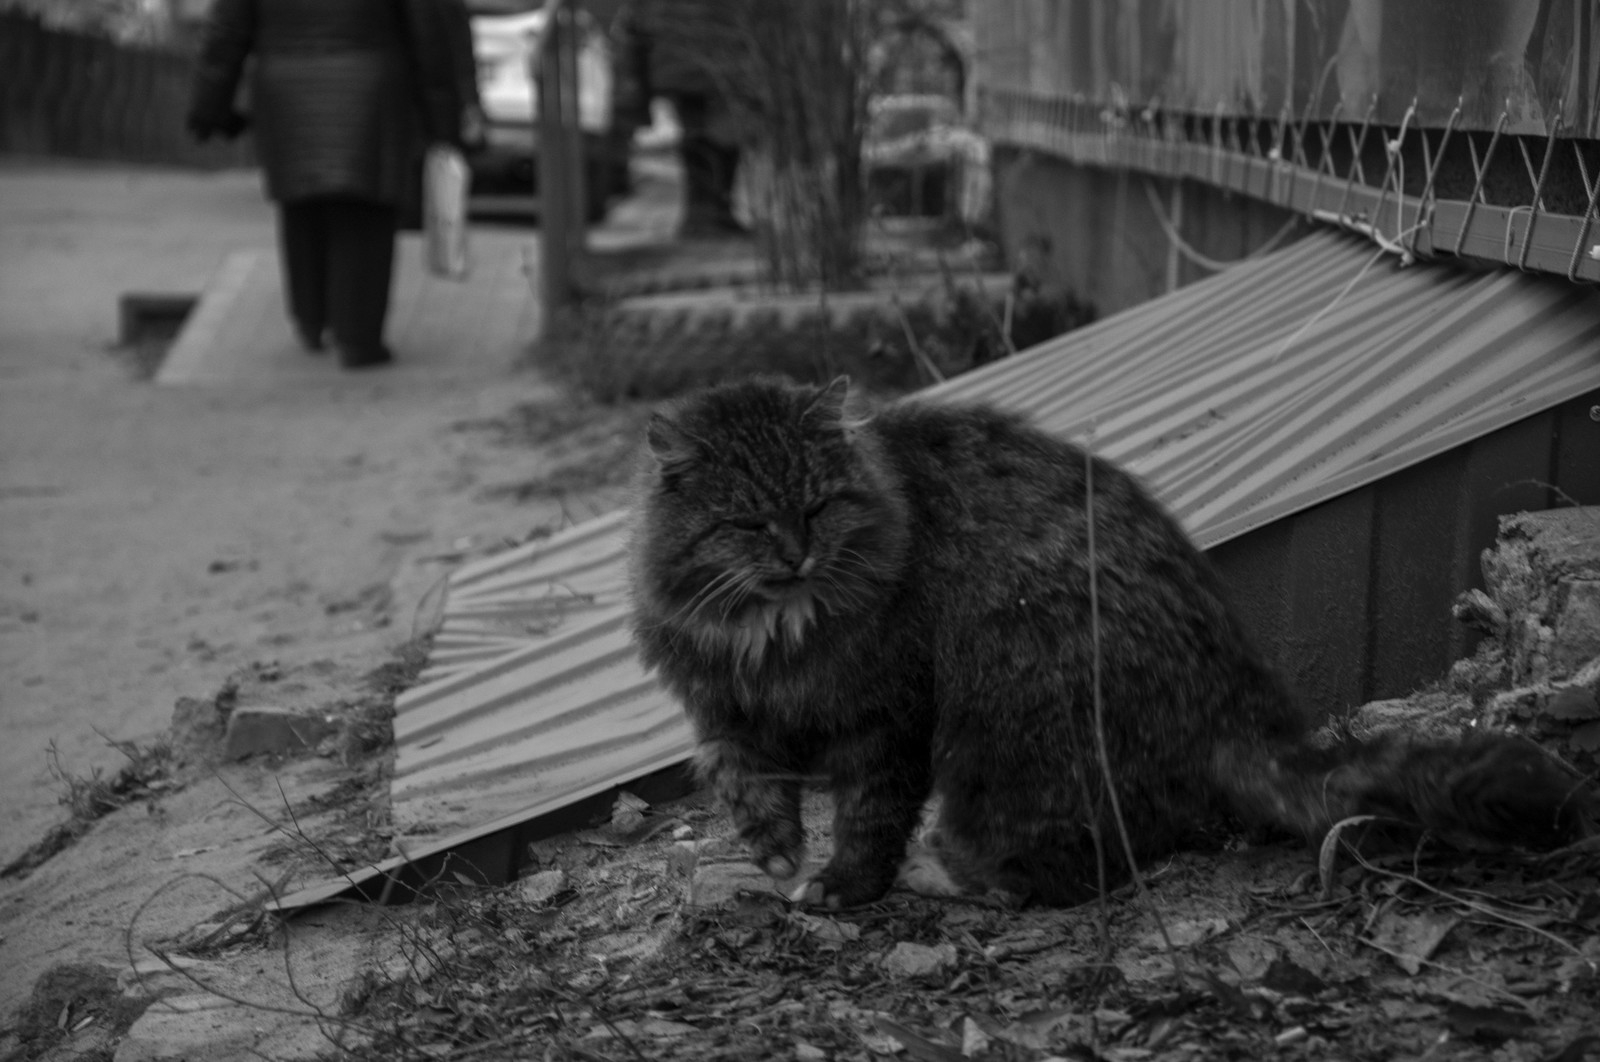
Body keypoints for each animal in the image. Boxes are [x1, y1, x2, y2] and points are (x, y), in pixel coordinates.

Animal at [624, 372, 1587, 902]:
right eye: (747, 522)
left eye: (819, 506)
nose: (795, 553)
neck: (776, 628)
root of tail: (1241, 710)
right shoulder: (727, 710)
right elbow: (739, 778)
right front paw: (775, 847)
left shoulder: (884, 716)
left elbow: (867, 815)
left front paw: (841, 886)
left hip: (1009, 715)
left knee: (1074, 867)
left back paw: (951, 877)